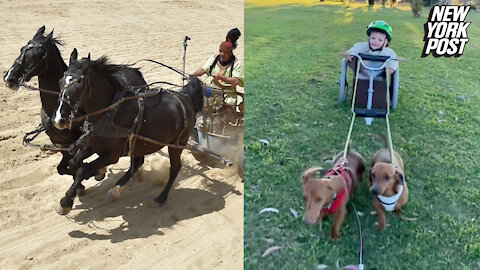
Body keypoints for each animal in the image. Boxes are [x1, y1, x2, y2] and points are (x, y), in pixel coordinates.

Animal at [53, 51, 203, 215]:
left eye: (79, 83)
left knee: (175, 168)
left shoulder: (112, 155)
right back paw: (116, 190)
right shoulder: (92, 143)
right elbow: (74, 163)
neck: (109, 112)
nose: (59, 119)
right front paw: (97, 173)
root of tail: (187, 98)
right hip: (141, 144)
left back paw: (161, 198)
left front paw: (65, 202)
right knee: (138, 162)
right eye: (60, 81)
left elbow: (83, 170)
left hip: (176, 144)